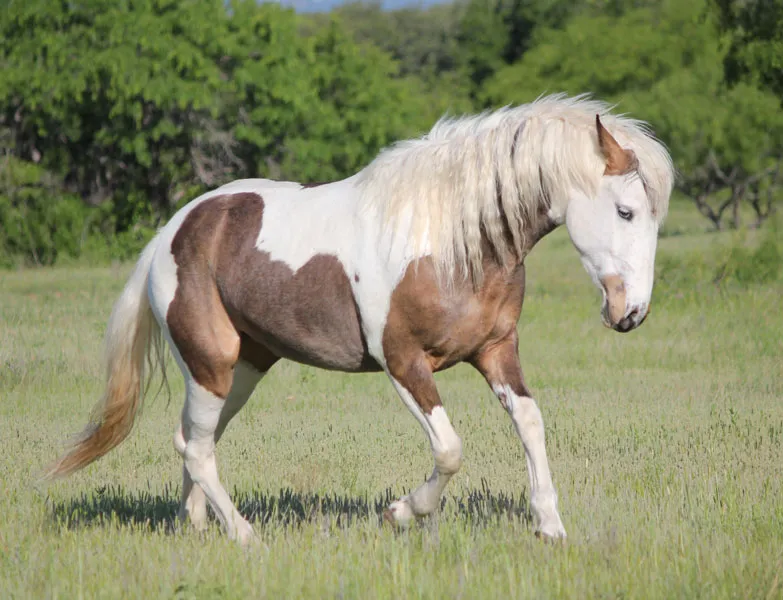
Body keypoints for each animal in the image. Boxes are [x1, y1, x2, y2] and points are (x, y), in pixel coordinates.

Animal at [46, 94, 674, 544]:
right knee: (197, 447)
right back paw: (244, 535)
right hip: (211, 364)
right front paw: (401, 513)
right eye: (625, 211)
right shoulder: (403, 363)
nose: (631, 313)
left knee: (194, 440)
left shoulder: (496, 351)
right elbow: (450, 450)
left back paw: (196, 526)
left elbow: (530, 422)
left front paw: (549, 526)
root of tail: (172, 232)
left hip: (243, 369)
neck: (445, 243)